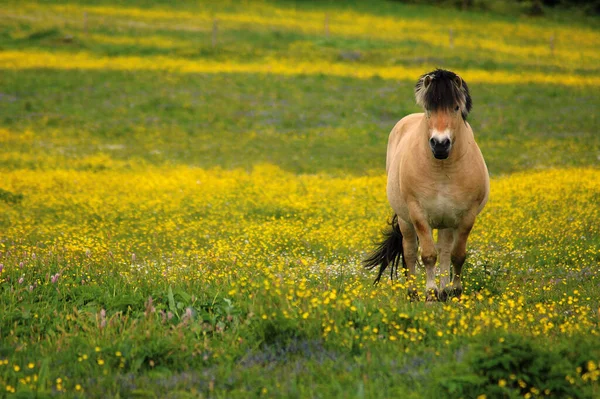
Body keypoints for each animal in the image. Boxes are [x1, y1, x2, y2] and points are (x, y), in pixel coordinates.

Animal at [366, 69, 488, 302]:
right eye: (428, 109)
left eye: (456, 107)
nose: (440, 144)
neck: (443, 169)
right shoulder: (418, 215)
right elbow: (428, 255)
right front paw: (430, 293)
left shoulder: (467, 217)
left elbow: (457, 255)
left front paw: (454, 291)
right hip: (405, 221)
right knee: (410, 251)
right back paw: (413, 293)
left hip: (446, 222)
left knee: (445, 252)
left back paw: (444, 291)